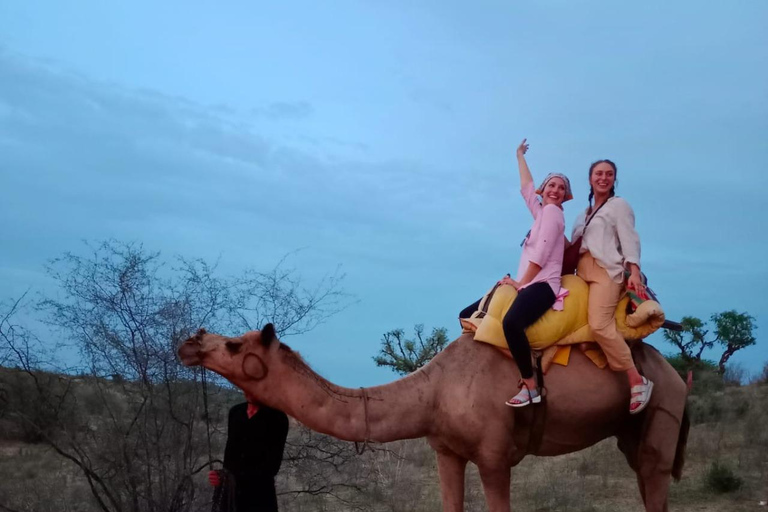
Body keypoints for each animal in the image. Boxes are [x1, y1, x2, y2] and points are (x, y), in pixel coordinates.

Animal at [178, 324, 688, 512]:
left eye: (234, 345)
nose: (189, 341)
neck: (435, 391)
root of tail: (674, 373)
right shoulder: (446, 452)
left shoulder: (495, 455)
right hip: (630, 431)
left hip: (662, 410)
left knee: (655, 476)